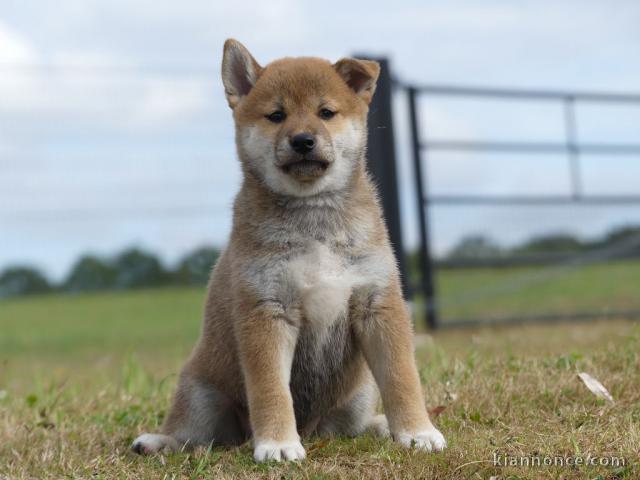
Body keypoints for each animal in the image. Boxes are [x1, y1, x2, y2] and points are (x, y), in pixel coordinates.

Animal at [132, 40, 444, 462]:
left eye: (325, 112)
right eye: (276, 115)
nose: (302, 140)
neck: (313, 218)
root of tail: (313, 430)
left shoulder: (378, 303)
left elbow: (401, 376)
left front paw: (417, 432)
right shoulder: (267, 308)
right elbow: (270, 389)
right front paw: (278, 443)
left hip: (359, 392)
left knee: (350, 427)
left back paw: (380, 426)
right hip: (201, 394)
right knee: (194, 436)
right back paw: (158, 441)